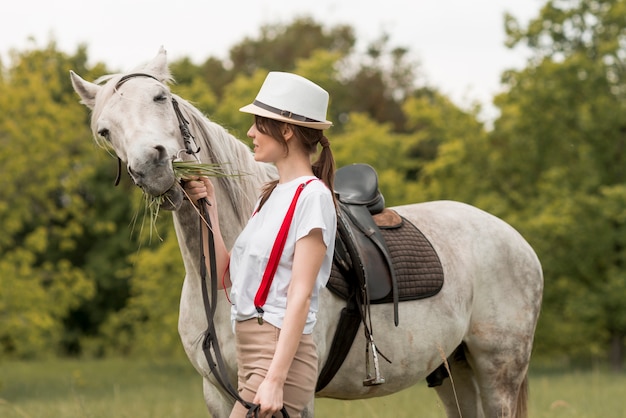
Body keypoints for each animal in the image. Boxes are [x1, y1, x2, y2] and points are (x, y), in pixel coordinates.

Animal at [69, 47, 540, 416]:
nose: (153, 166)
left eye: (160, 97)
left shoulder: (291, 392)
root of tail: (515, 239)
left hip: (498, 371)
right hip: (453, 370)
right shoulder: (220, 394)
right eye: (105, 130)